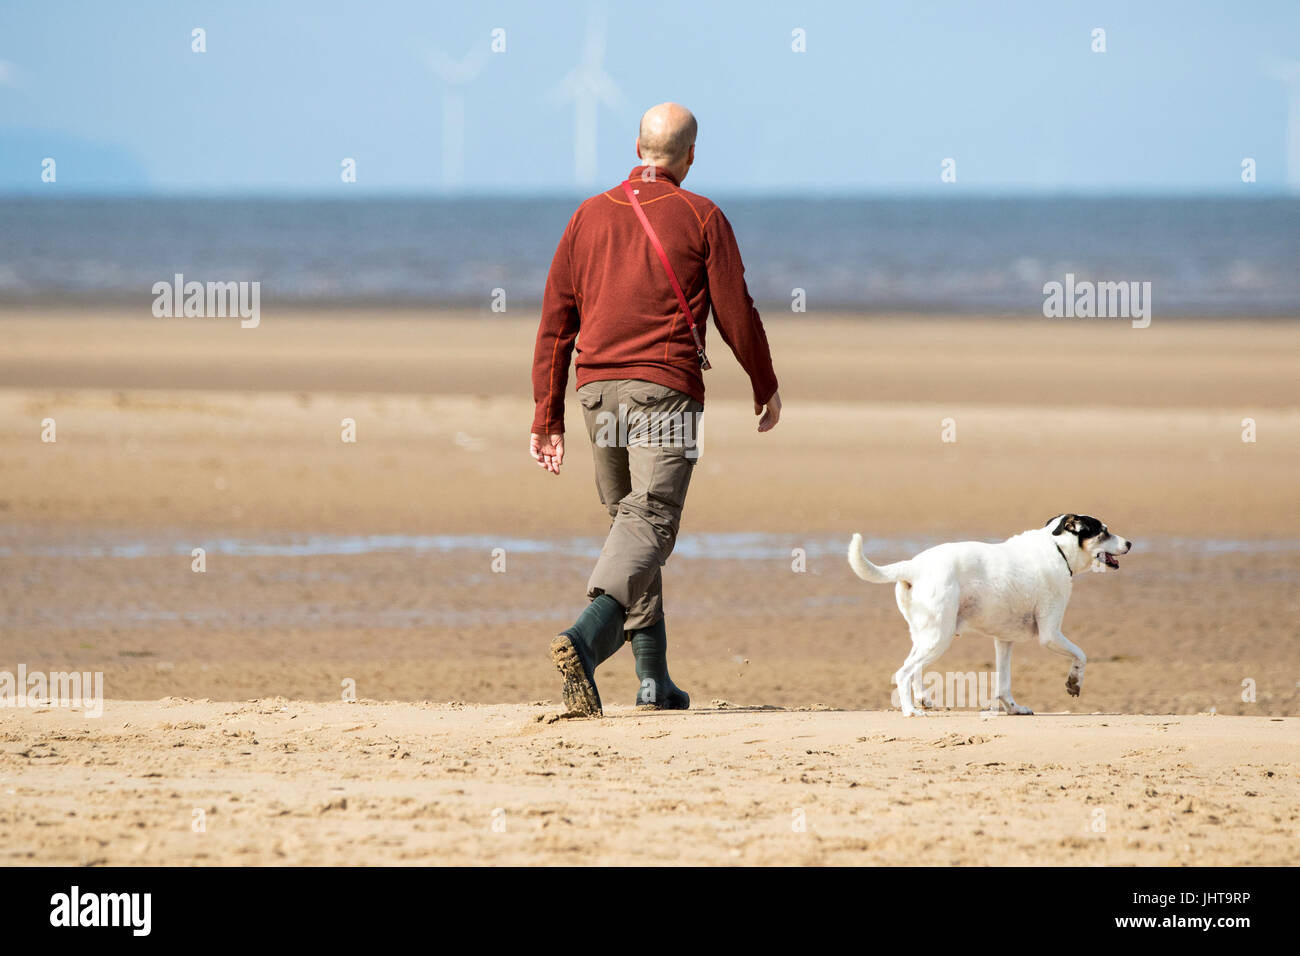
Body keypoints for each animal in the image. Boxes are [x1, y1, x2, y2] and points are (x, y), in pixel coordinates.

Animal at [847, 515, 1133, 717]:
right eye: (1103, 531)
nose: (1130, 543)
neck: (1056, 549)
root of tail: (914, 565)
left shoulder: (1004, 641)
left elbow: (1003, 684)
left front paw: (1013, 708)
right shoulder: (1050, 635)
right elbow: (1081, 655)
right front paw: (1074, 682)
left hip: (925, 636)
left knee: (914, 668)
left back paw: (922, 700)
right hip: (939, 637)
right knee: (903, 672)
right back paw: (910, 711)